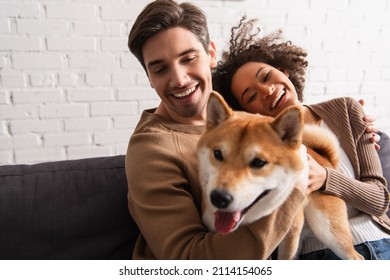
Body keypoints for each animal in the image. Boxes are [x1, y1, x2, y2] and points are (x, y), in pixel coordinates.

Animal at [198, 92, 362, 260]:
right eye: (218, 154)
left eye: (259, 162)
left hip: (327, 231)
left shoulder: (290, 235)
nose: (219, 198)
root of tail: (324, 159)